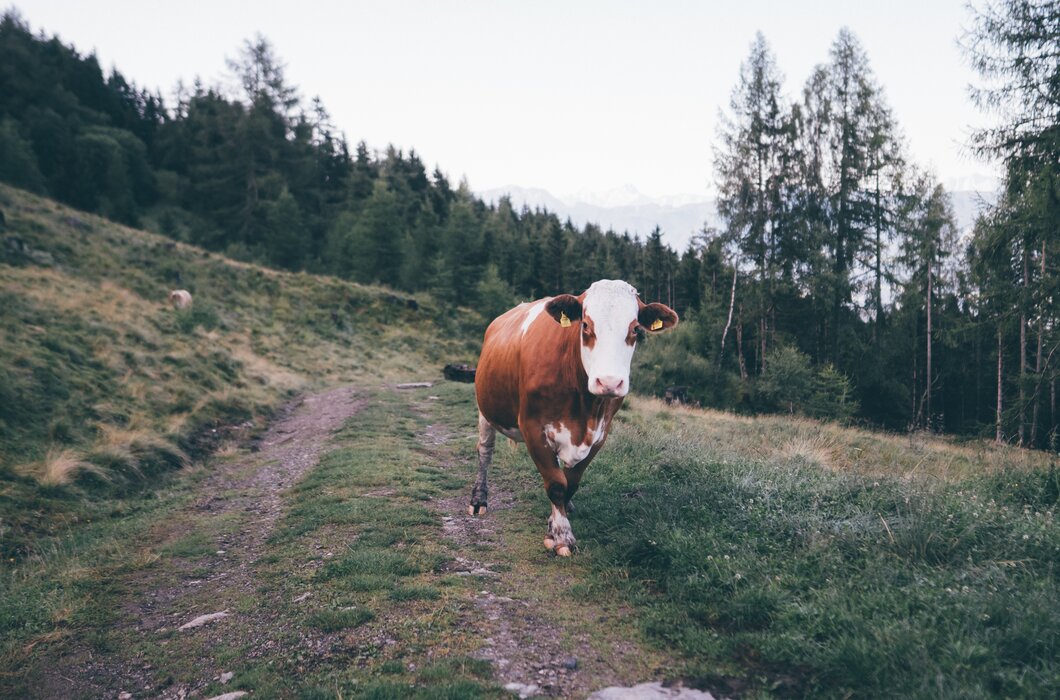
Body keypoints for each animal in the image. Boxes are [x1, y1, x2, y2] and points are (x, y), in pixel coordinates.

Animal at [470, 277, 678, 555]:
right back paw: (479, 499)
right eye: (586, 325)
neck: (585, 409)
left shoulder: (600, 433)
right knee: (485, 451)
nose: (609, 382)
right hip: (485, 408)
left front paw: (555, 522)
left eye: (635, 329)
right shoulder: (533, 427)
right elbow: (556, 484)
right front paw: (560, 536)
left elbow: (571, 482)